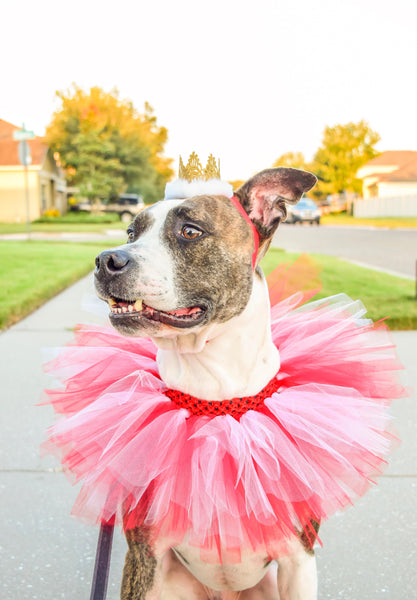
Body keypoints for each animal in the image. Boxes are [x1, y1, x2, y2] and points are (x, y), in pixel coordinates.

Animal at [93, 168, 316, 600]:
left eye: (190, 231)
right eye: (131, 232)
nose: (106, 259)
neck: (214, 396)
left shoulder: (299, 560)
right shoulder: (144, 554)